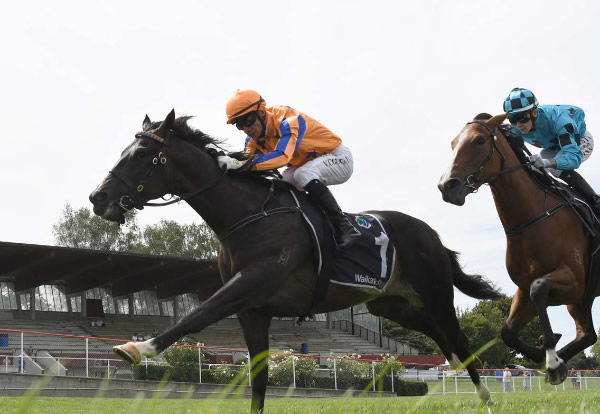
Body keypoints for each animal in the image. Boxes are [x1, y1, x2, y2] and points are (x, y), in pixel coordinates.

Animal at [90, 110, 502, 410]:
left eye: (141, 155)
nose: (98, 197)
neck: (250, 214)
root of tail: (431, 234)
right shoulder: (253, 310)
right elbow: (257, 377)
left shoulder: (251, 282)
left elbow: (198, 313)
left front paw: (138, 348)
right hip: (390, 304)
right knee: (437, 334)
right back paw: (456, 368)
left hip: (435, 294)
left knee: (458, 336)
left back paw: (484, 397)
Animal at [438, 112, 596, 384]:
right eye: (453, 143)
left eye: (479, 141)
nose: (447, 186)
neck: (534, 218)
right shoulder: (525, 289)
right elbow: (507, 332)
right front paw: (549, 355)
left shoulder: (574, 280)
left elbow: (539, 288)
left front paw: (553, 360)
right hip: (580, 302)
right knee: (588, 334)